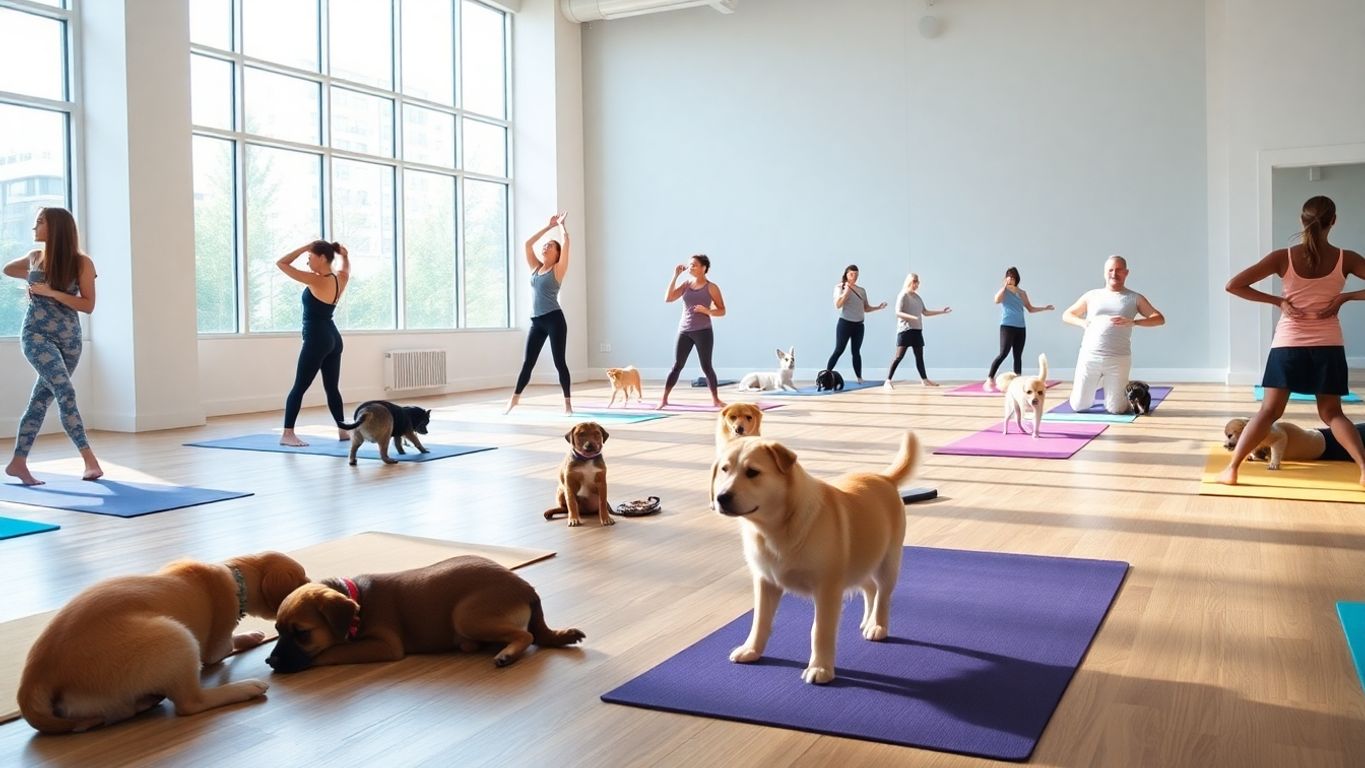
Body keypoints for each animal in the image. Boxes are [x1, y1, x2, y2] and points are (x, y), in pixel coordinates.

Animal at [18, 551, 307, 736]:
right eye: (302, 577)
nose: (313, 582)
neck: (235, 575)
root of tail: (35, 677)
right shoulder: (216, 647)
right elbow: (227, 646)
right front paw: (251, 636)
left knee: (120, 711)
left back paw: (144, 702)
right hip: (176, 637)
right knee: (191, 703)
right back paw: (244, 688)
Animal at [268, 553, 584, 673]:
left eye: (302, 634)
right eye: (278, 632)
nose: (270, 661)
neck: (358, 599)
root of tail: (527, 589)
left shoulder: (386, 645)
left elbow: (332, 651)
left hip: (466, 615)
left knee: (526, 635)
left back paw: (506, 654)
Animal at [709, 433, 922, 684]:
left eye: (752, 472)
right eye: (724, 470)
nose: (721, 497)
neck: (776, 527)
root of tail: (884, 477)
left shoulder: (827, 588)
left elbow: (820, 630)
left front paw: (820, 669)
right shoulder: (765, 581)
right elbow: (759, 620)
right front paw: (751, 650)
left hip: (887, 562)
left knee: (883, 595)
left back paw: (877, 626)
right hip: (858, 562)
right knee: (870, 587)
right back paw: (867, 620)